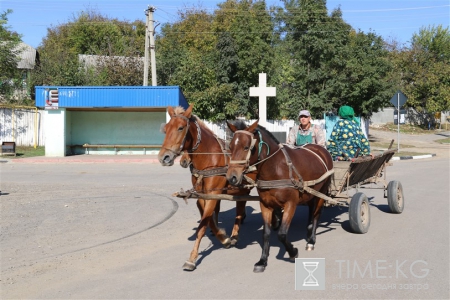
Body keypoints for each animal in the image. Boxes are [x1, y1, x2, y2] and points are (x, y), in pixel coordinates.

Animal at [158, 104, 256, 270]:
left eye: (180, 128)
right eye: (165, 129)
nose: (163, 157)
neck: (209, 159)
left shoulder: (213, 193)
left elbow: (202, 225)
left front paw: (192, 257)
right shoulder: (202, 194)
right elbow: (206, 218)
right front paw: (222, 237)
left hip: (246, 188)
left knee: (241, 208)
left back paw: (237, 233)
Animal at [225, 119, 334, 272]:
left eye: (246, 147)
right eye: (230, 147)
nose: (232, 177)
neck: (275, 168)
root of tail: (321, 149)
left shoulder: (290, 204)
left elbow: (282, 234)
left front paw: (293, 252)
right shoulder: (265, 205)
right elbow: (266, 233)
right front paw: (262, 260)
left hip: (321, 192)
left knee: (316, 215)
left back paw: (311, 240)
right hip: (310, 193)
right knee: (311, 212)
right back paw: (308, 232)